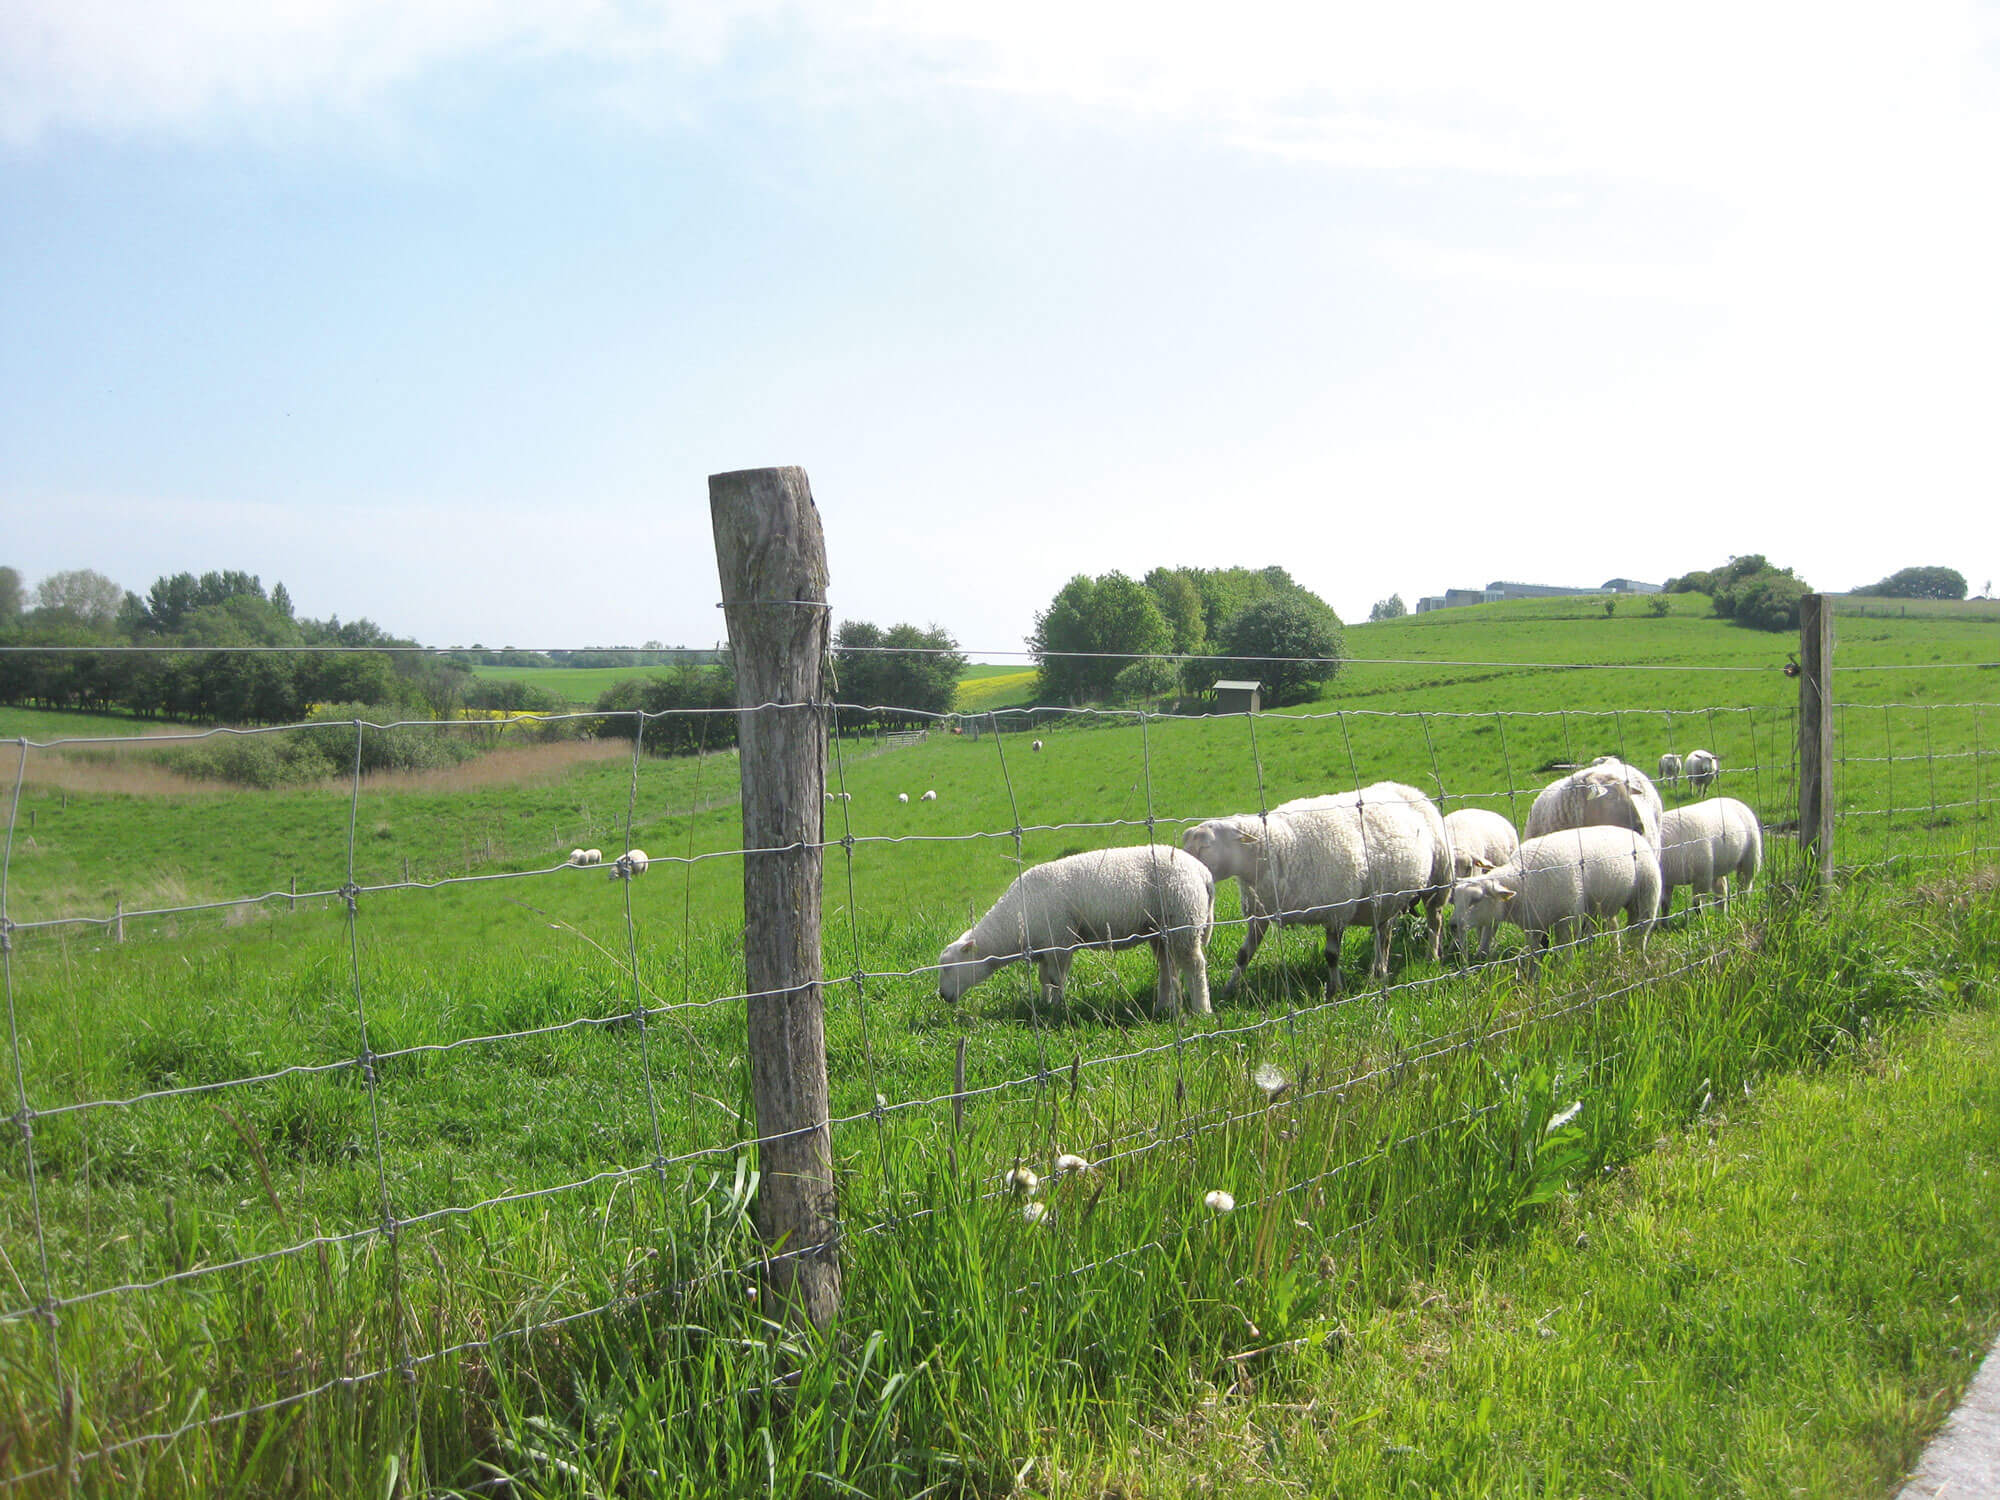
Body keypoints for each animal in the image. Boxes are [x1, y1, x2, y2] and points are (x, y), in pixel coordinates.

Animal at [940, 848, 1216, 1024]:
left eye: (949, 967)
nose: (942, 996)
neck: (1013, 921)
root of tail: (1203, 872)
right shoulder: (1045, 947)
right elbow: (1044, 978)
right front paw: (1044, 1003)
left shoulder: (1060, 940)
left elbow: (1057, 978)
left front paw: (1058, 1008)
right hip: (1162, 930)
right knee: (1167, 966)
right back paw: (1163, 1006)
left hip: (1184, 918)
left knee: (1194, 965)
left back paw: (1202, 1010)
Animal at [1184, 800, 1440, 1000]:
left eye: (1206, 845)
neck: (1278, 846)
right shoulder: (1261, 912)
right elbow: (1243, 954)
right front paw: (1229, 988)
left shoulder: (1337, 910)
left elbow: (1332, 955)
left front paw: (1334, 990)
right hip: (1386, 901)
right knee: (1383, 935)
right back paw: (1379, 973)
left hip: (1423, 888)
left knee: (1420, 925)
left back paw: (1419, 961)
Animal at [1448, 824, 1664, 976]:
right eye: (1455, 899)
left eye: (1476, 900)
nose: (1452, 925)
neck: (1522, 883)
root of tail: (1633, 833)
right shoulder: (1534, 923)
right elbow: (1534, 952)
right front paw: (1533, 976)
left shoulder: (1569, 918)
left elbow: (1565, 949)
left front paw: (1564, 972)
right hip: (1606, 904)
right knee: (1614, 927)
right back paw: (1618, 955)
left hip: (1647, 893)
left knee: (1640, 932)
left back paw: (1637, 959)